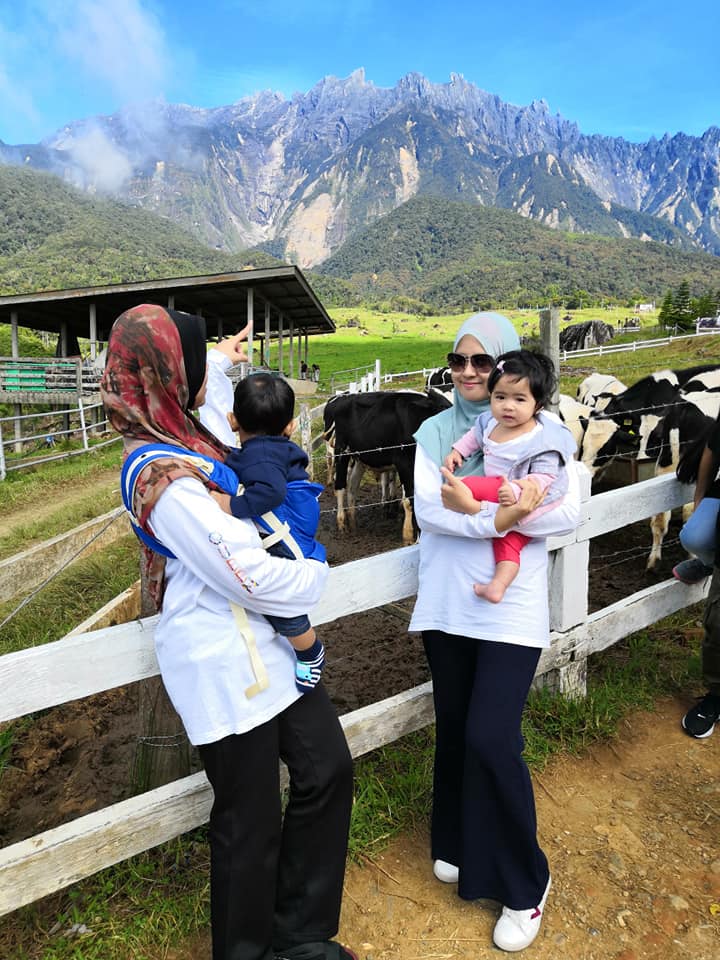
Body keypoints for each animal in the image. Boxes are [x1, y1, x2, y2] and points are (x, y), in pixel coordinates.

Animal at [324, 388, 450, 540]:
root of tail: (341, 398)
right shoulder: (404, 463)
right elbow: (411, 499)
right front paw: (411, 536)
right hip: (342, 452)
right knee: (340, 486)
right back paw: (342, 524)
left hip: (359, 457)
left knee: (352, 487)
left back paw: (353, 523)